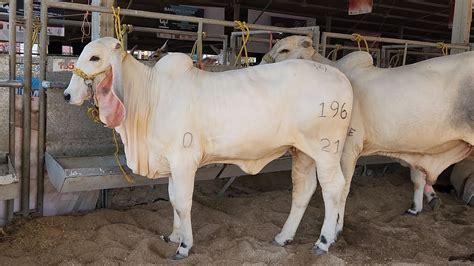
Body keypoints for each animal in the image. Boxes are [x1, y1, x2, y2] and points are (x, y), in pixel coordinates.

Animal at [65, 37, 356, 258]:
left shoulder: (184, 161)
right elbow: (172, 199)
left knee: (334, 188)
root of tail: (341, 76)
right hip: (303, 152)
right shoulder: (171, 163)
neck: (151, 96)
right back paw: (284, 236)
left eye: (94, 58)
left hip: (326, 150)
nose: (67, 95)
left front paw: (184, 246)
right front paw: (173, 236)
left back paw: (324, 241)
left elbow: (183, 202)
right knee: (303, 190)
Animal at [262, 35, 474, 237]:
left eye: (284, 50)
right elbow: (418, 178)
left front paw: (336, 228)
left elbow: (344, 188)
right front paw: (418, 207)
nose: (263, 63)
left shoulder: (348, 148)